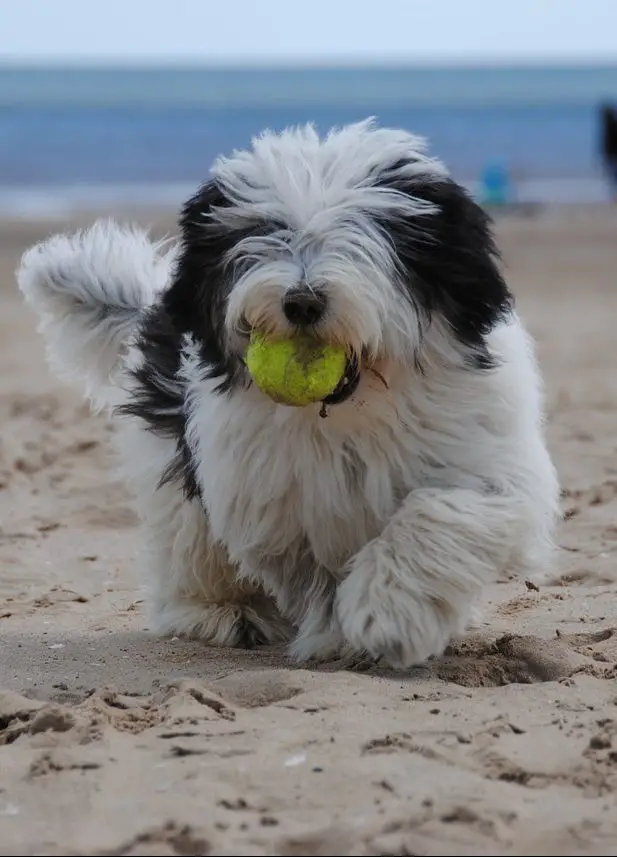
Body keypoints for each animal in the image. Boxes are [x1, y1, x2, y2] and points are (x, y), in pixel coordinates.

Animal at [18, 120, 560, 668]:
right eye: (266, 234)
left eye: (364, 236)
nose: (301, 301)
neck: (355, 413)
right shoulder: (276, 502)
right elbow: (314, 571)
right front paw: (342, 633)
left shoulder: (488, 461)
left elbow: (439, 513)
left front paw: (387, 611)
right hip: (178, 465)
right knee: (191, 542)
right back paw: (220, 611)